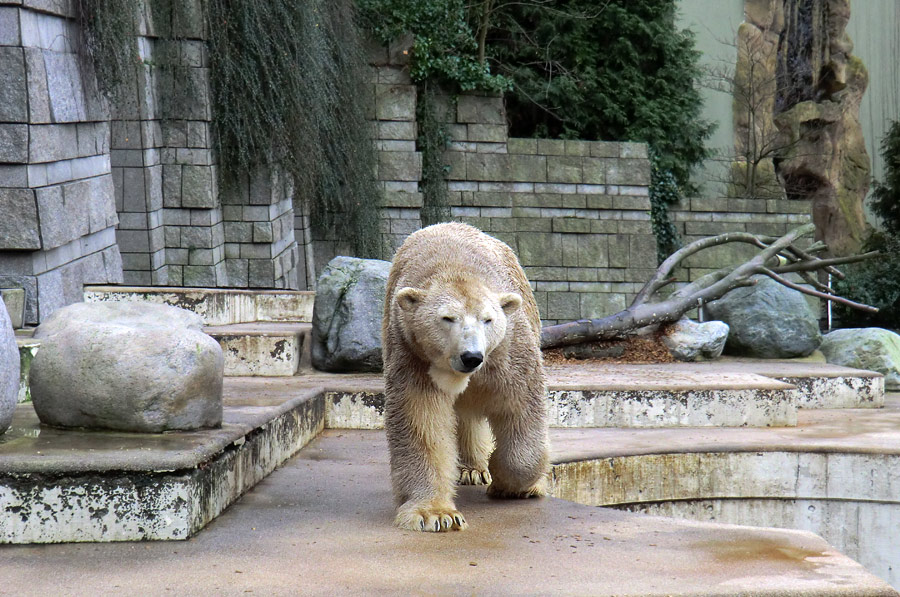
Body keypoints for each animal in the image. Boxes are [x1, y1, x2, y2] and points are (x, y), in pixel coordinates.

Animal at [382, 222, 548, 532]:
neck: (454, 264)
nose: (471, 356)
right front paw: (435, 514)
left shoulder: (508, 351)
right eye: (447, 318)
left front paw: (510, 485)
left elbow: (522, 407)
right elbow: (421, 421)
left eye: (488, 319)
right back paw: (471, 468)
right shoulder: (412, 355)